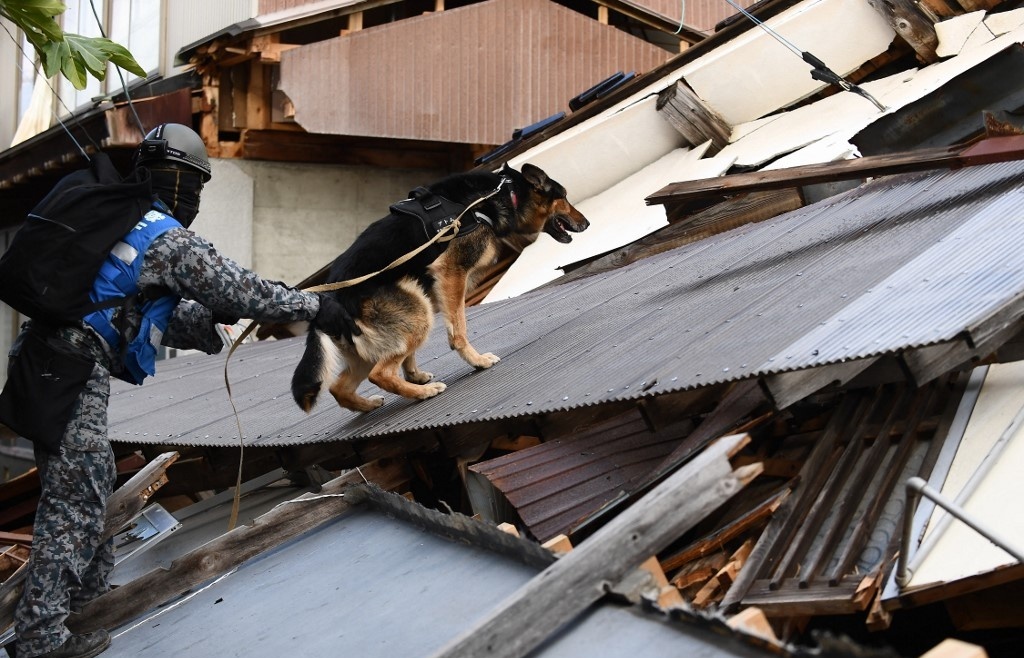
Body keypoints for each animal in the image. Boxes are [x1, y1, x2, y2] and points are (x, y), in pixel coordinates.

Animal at [292, 163, 589, 411]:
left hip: (384, 333)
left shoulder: (437, 286)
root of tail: (329, 304)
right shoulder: (451, 274)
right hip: (417, 309)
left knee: (338, 388)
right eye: (565, 197)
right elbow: (459, 329)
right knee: (380, 373)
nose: (586, 223)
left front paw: (415, 374)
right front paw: (477, 361)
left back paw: (369, 405)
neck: (502, 194)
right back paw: (423, 393)